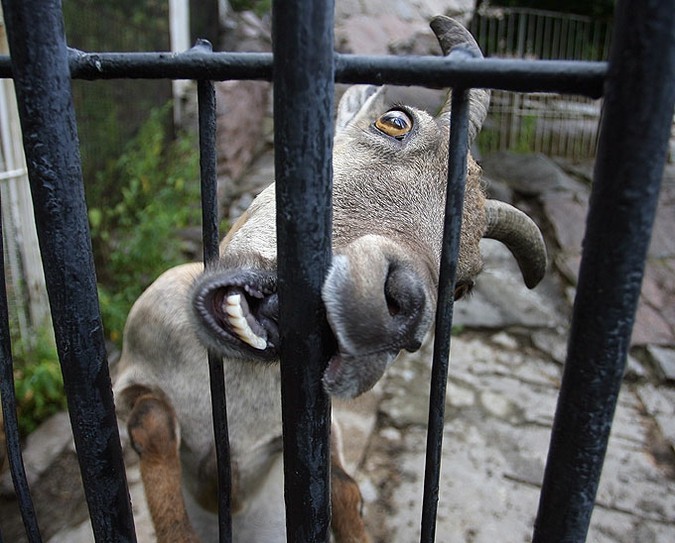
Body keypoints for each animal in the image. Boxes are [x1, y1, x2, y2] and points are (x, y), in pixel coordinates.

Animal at [113, 17, 548, 543]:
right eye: (395, 121)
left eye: (462, 286)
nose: (395, 306)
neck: (238, 379)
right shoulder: (130, 374)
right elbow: (152, 420)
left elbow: (343, 486)